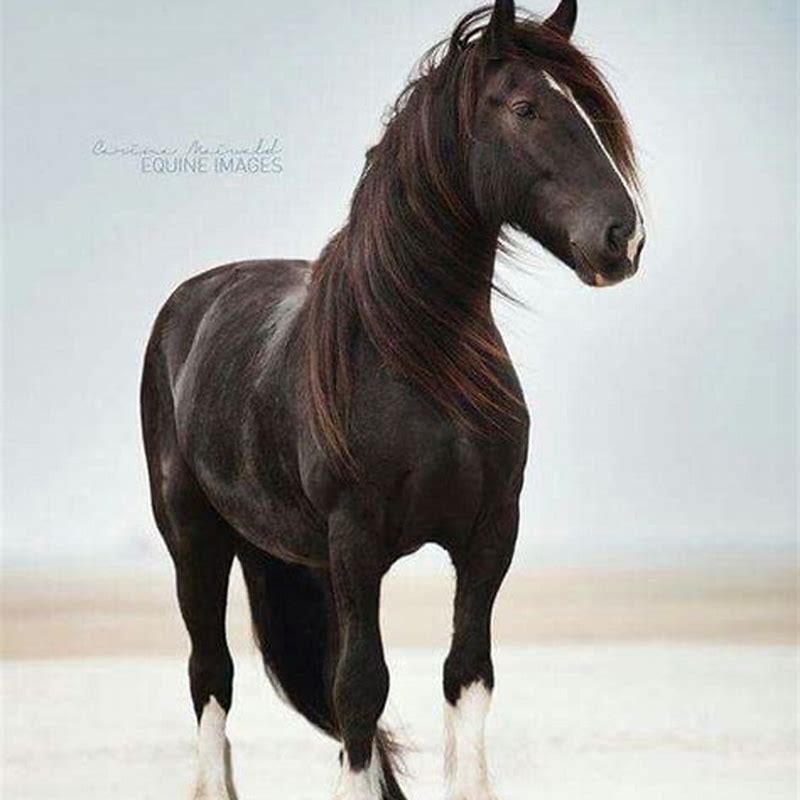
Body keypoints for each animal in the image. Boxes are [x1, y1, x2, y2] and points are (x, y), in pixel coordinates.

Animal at [140, 1, 644, 798]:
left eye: (589, 112)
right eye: (526, 107)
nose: (623, 238)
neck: (420, 361)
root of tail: (188, 304)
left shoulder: (490, 534)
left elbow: (465, 675)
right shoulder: (357, 540)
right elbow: (360, 688)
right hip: (195, 539)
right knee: (211, 679)